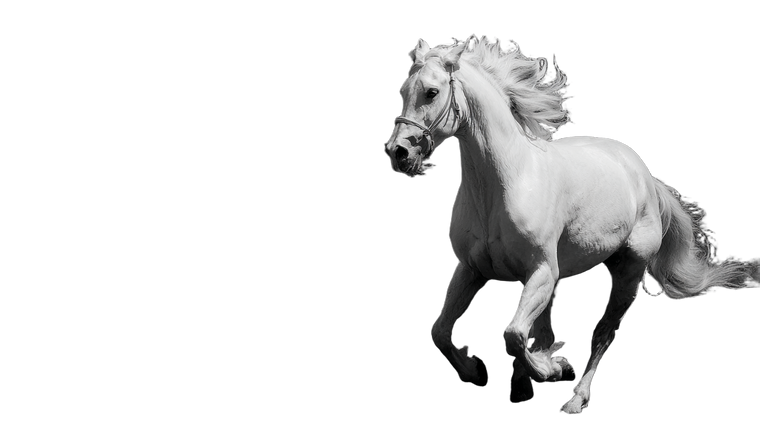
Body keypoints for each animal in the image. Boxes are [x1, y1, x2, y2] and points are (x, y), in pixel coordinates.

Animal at [382, 34, 759, 417]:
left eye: (431, 92)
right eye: (403, 91)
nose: (398, 152)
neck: (504, 184)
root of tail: (643, 175)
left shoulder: (541, 271)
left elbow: (513, 334)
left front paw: (553, 369)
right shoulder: (471, 270)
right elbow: (441, 331)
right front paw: (476, 371)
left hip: (628, 270)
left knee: (603, 332)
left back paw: (575, 398)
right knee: (543, 327)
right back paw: (524, 385)